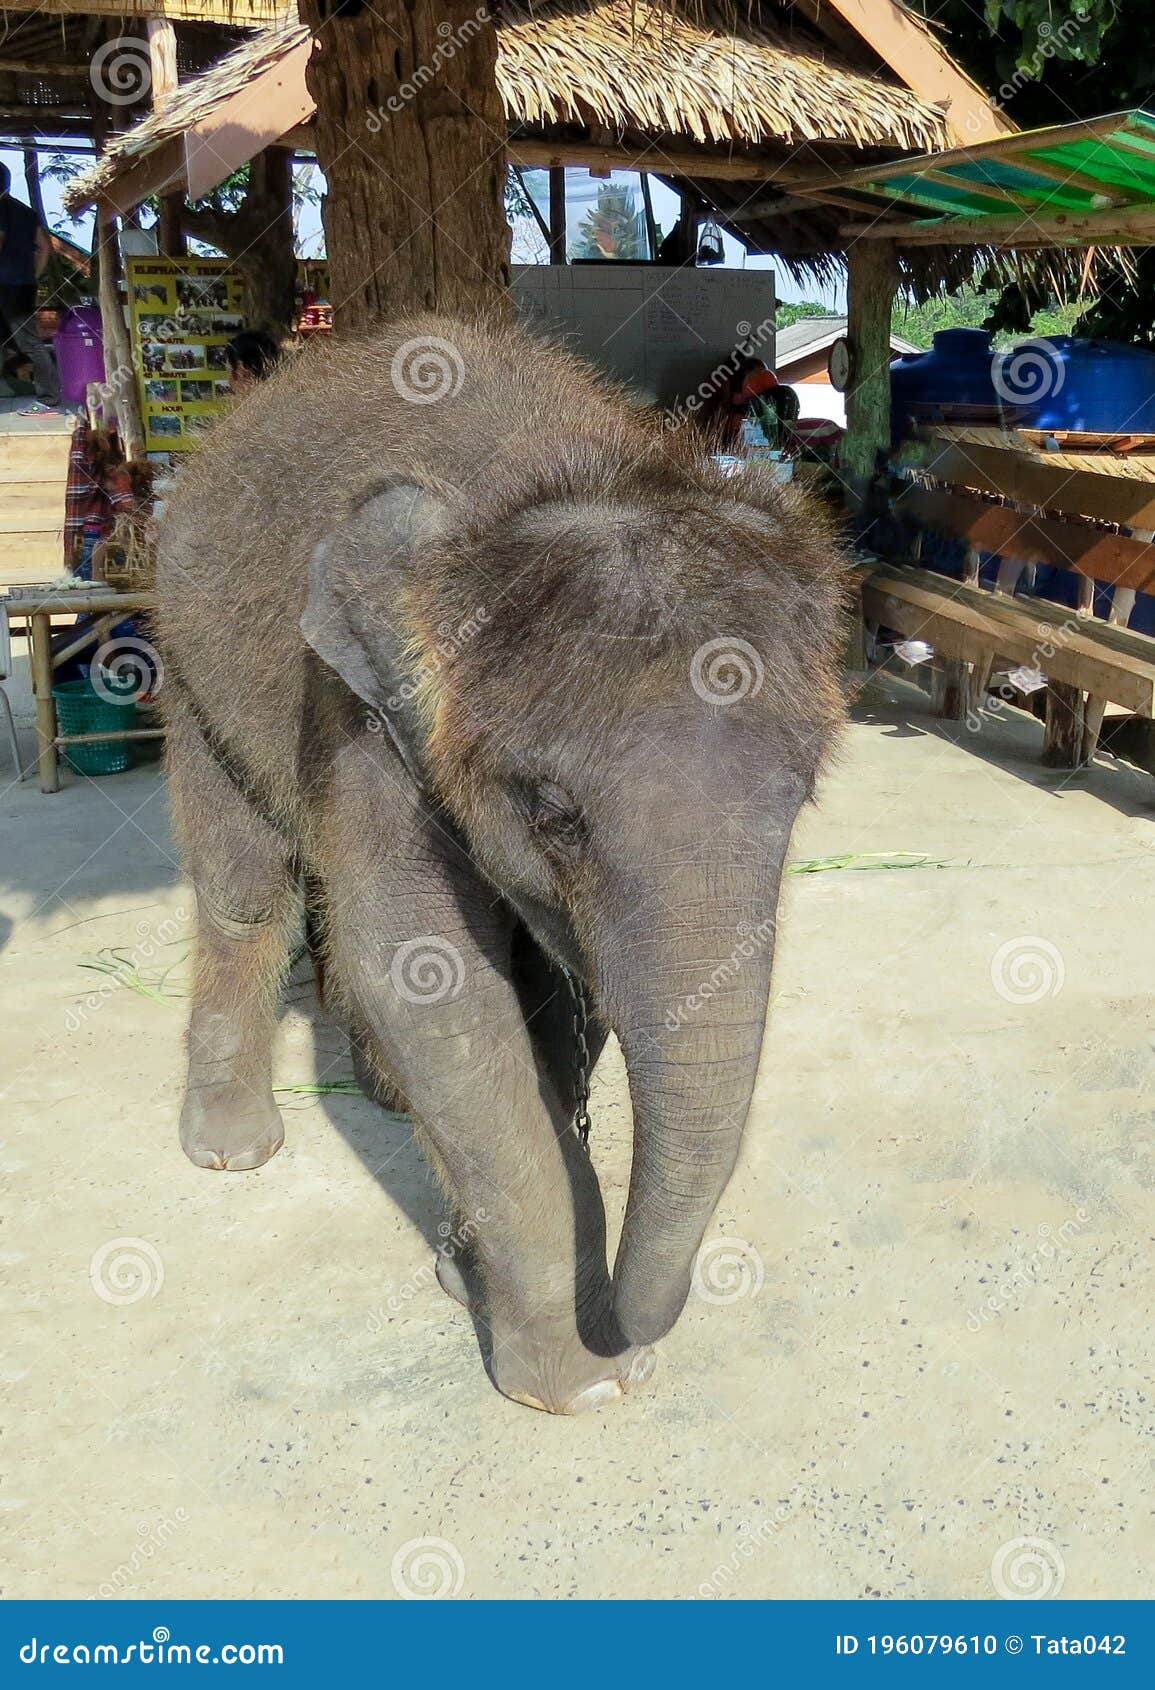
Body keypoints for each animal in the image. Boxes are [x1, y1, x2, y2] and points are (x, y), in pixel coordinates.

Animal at [156, 314, 847, 1415]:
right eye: (554, 814)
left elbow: (557, 988)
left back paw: (385, 1096)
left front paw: (470, 1272)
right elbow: (427, 976)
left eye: (802, 797)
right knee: (243, 884)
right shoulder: (358, 708)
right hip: (187, 660)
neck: (567, 473)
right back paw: (231, 1150)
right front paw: (581, 1385)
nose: (632, 1331)